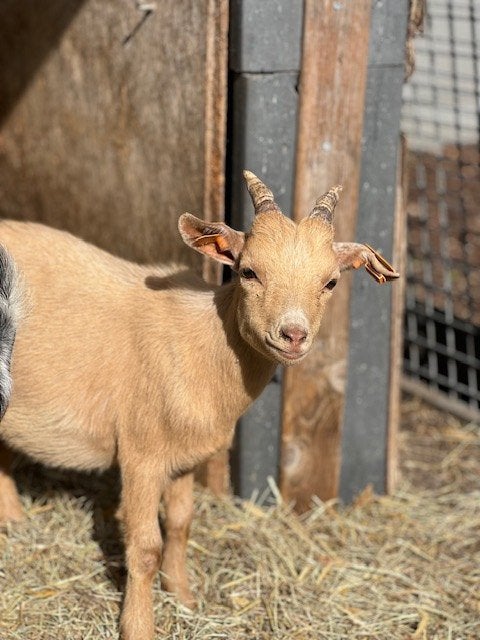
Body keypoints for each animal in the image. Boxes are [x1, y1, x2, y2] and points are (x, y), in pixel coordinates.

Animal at [0, 171, 398, 639]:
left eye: (331, 282)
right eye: (248, 271)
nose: (293, 334)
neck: (201, 346)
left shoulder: (185, 456)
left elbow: (180, 525)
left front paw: (184, 597)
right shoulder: (141, 454)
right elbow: (145, 547)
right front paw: (139, 626)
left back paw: (13, 520)